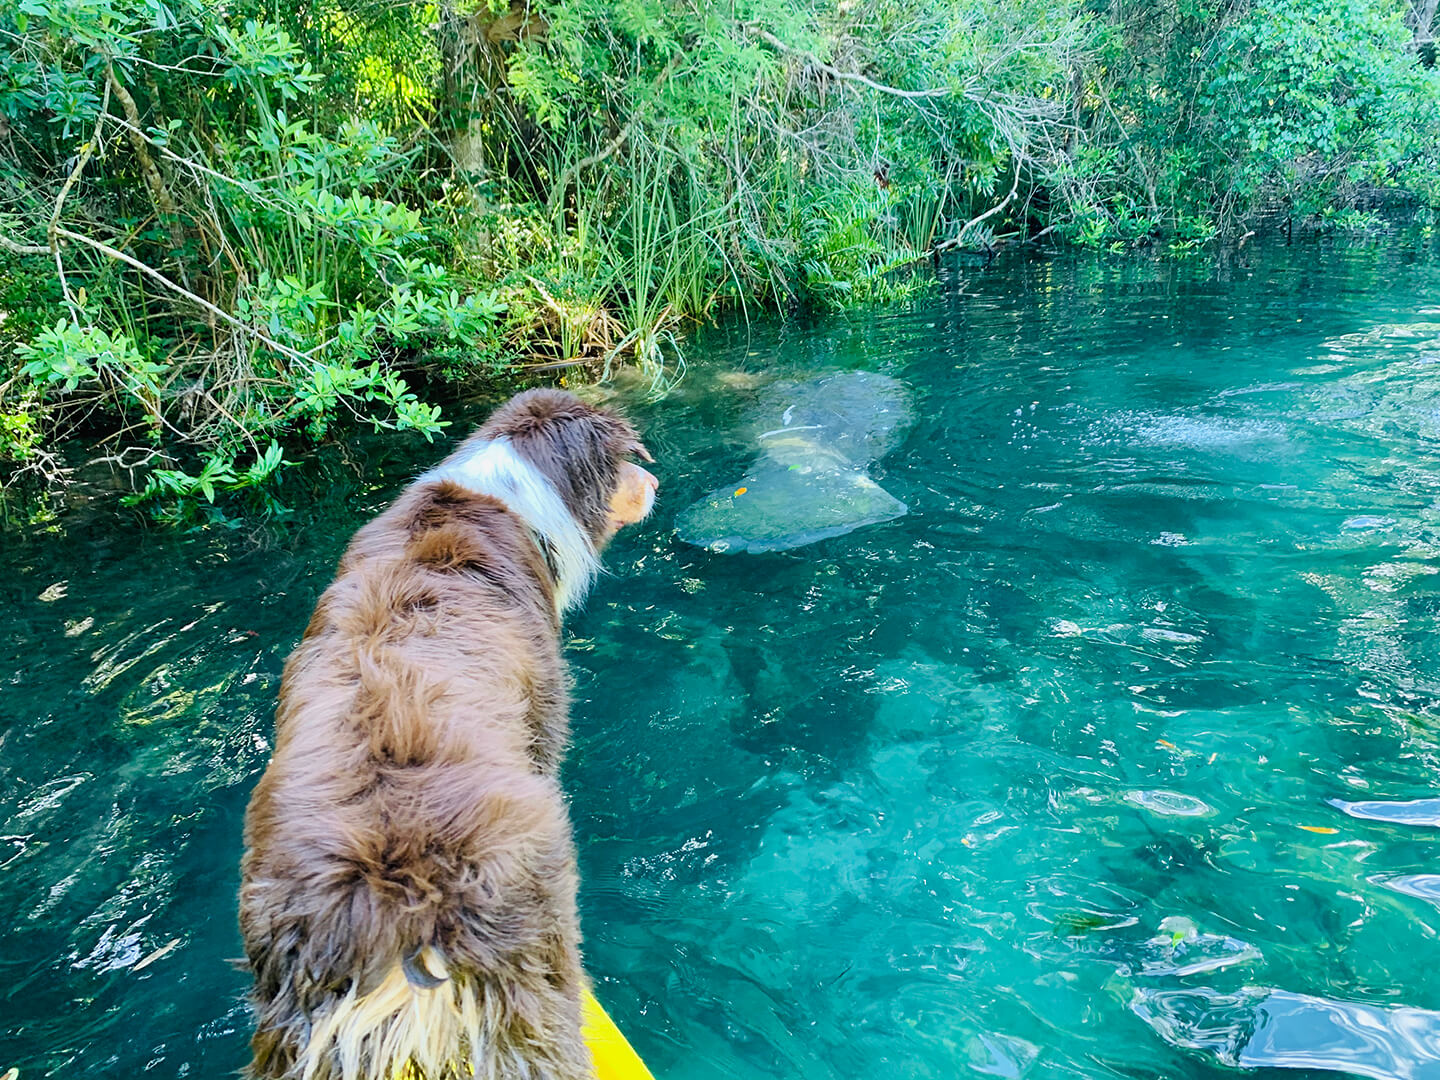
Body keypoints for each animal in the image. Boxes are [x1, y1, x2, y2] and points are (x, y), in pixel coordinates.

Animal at [240, 391, 659, 1080]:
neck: (508, 498)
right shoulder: (544, 724)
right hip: (529, 983)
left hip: (290, 1024)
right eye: (627, 461)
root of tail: (396, 917)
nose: (655, 484)